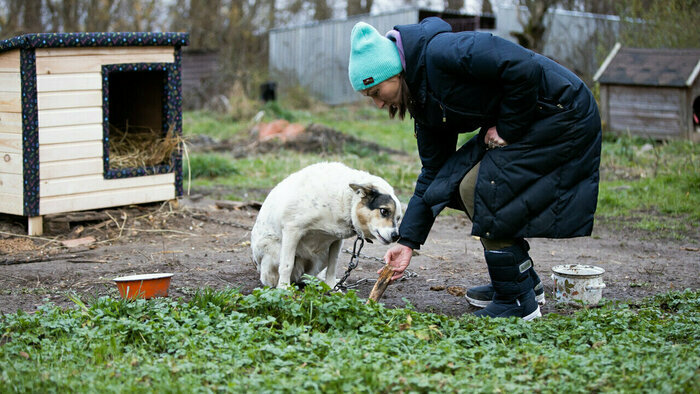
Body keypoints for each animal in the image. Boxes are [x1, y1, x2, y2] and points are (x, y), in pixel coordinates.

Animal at [253, 162, 404, 288]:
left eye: (398, 218)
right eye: (384, 211)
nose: (396, 236)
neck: (346, 201)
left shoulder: (336, 240)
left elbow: (333, 266)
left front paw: (332, 287)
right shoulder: (292, 230)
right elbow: (286, 265)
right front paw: (284, 289)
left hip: (321, 255)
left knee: (307, 276)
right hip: (276, 250)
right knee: (275, 277)